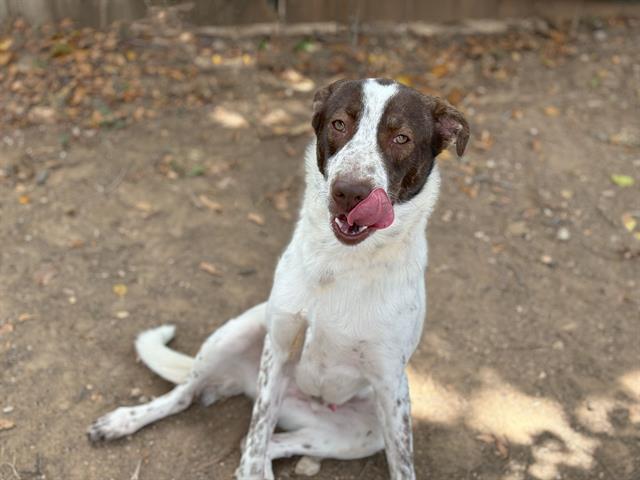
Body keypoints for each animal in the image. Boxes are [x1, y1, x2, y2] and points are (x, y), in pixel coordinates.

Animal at [87, 79, 470, 480]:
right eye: (338, 124)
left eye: (401, 138)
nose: (349, 192)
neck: (341, 262)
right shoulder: (279, 351)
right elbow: (256, 432)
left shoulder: (390, 385)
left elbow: (402, 465)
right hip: (238, 335)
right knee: (188, 398)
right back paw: (122, 421)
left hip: (362, 433)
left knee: (268, 443)